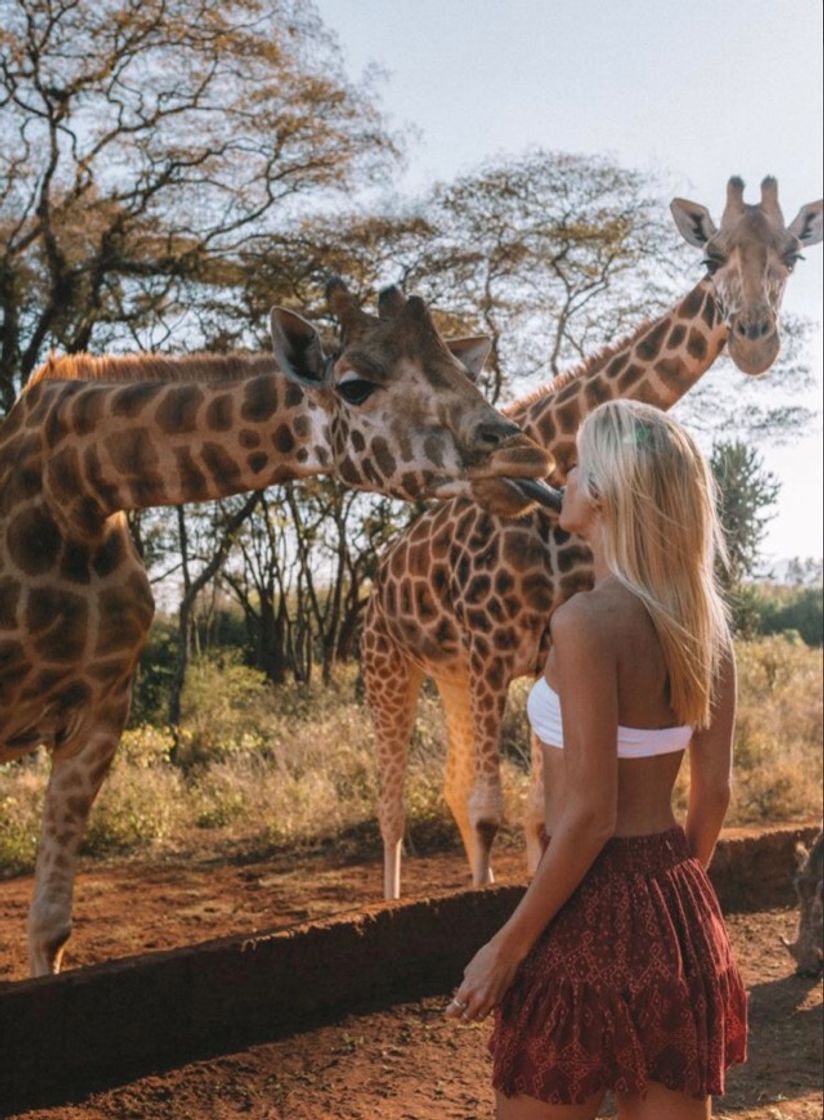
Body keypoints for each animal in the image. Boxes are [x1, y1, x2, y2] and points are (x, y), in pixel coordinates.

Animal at [3, 282, 557, 981]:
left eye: (468, 374)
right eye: (354, 386)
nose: (524, 453)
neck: (73, 490)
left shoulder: (101, 710)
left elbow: (50, 927)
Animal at [367, 174, 824, 896]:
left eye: (794, 257)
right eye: (709, 259)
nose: (755, 339)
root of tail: (380, 576)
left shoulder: (537, 655)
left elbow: (535, 815)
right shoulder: (491, 653)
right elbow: (491, 811)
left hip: (450, 675)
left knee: (449, 788)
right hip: (387, 665)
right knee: (392, 807)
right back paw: (388, 899)